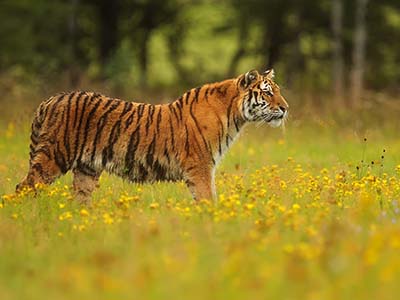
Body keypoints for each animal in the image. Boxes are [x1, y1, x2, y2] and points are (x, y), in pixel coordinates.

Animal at [16, 69, 288, 203]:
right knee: (23, 188)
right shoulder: (200, 168)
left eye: (277, 91)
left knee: (79, 200)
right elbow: (208, 200)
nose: (286, 108)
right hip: (53, 157)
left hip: (86, 169)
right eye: (267, 93)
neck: (234, 114)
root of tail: (49, 100)